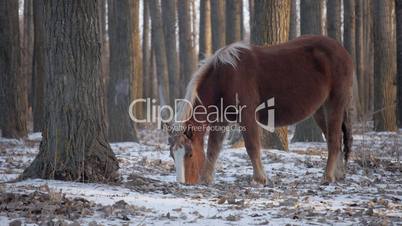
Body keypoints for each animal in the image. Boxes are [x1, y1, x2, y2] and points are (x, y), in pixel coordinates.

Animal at [168, 34, 354, 184]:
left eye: (189, 154)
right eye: (172, 155)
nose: (183, 183)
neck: (225, 77)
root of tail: (342, 51)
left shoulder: (247, 115)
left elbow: (252, 146)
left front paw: (259, 179)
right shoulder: (221, 120)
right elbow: (213, 148)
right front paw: (206, 179)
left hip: (334, 104)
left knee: (334, 140)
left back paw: (327, 176)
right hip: (320, 110)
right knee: (333, 138)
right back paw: (338, 174)